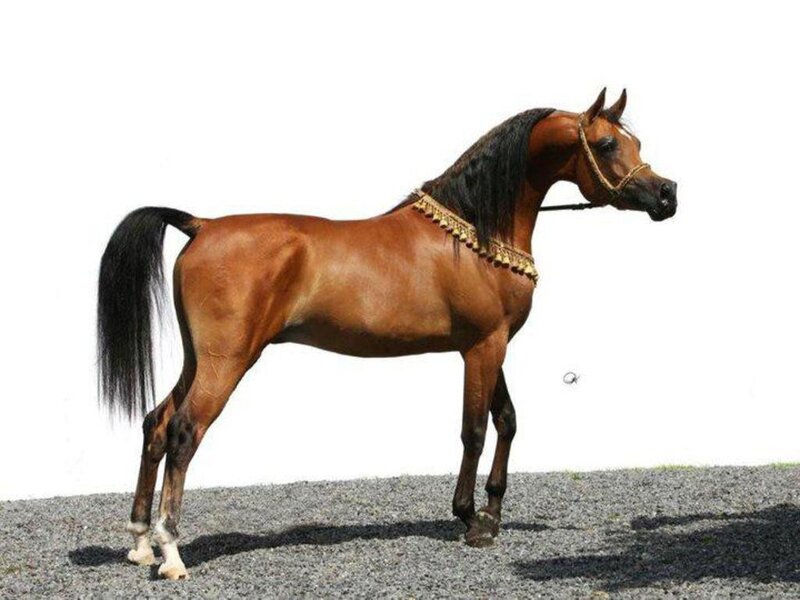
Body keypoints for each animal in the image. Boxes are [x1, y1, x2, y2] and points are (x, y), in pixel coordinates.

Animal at [97, 88, 677, 580]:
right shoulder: (481, 347)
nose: (667, 195)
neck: (476, 232)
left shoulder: (493, 346)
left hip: (199, 358)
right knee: (184, 431)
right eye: (606, 144)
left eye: (636, 143)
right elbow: (474, 429)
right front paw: (470, 520)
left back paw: (141, 543)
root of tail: (202, 224)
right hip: (227, 361)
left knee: (156, 423)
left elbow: (508, 421)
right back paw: (171, 553)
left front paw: (492, 514)